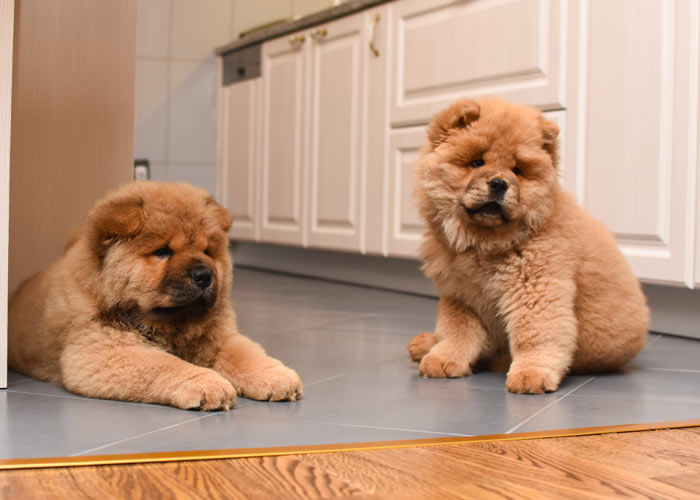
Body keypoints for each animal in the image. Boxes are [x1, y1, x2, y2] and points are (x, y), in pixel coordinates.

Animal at [8, 182, 302, 408]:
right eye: (163, 252)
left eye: (207, 250)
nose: (204, 275)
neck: (172, 325)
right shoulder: (101, 352)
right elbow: (165, 364)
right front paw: (208, 384)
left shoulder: (219, 338)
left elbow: (246, 354)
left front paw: (277, 377)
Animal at [408, 98, 648, 394]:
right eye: (477, 162)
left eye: (517, 170)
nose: (499, 183)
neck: (485, 243)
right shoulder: (461, 296)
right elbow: (457, 331)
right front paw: (443, 359)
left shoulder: (534, 287)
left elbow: (534, 333)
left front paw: (530, 374)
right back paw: (426, 343)